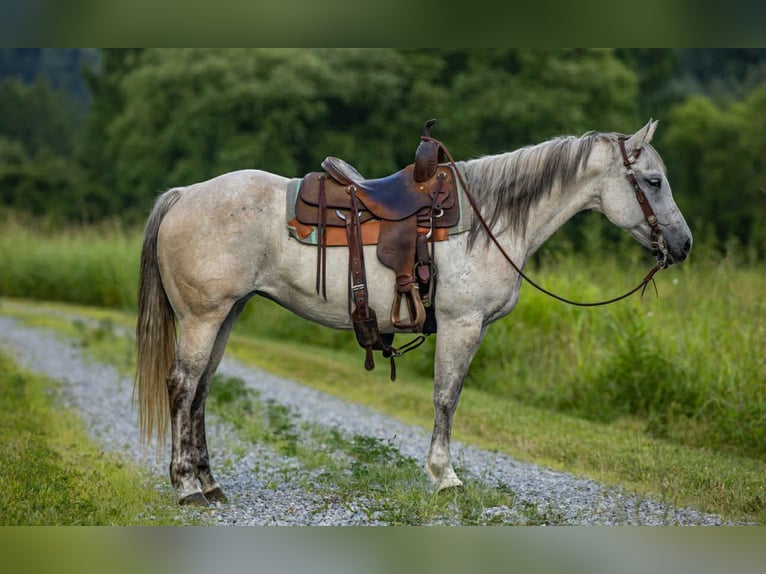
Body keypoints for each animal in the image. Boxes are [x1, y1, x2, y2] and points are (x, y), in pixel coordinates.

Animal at [135, 120, 692, 505]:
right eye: (653, 180)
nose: (684, 244)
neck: (490, 222)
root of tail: (184, 195)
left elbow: (449, 398)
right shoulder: (463, 324)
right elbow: (446, 398)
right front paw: (445, 476)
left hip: (226, 314)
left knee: (202, 390)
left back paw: (210, 484)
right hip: (204, 318)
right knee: (183, 386)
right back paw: (186, 488)